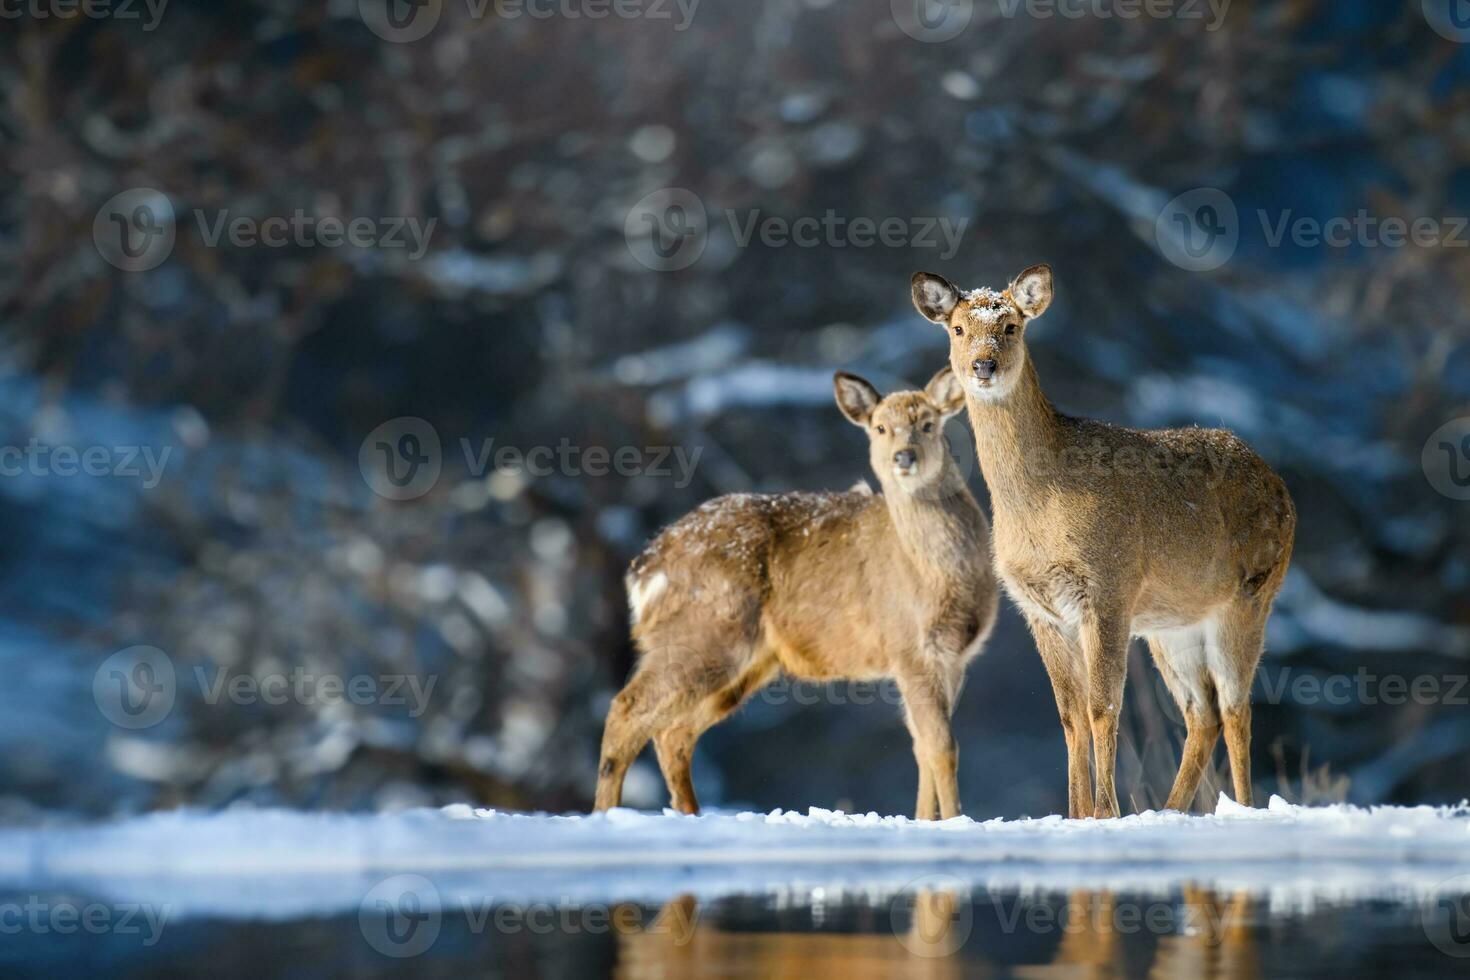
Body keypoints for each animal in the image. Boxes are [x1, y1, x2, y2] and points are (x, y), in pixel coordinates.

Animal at [593, 367, 999, 822]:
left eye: (928, 424)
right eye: (880, 427)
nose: (904, 457)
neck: (935, 575)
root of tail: (646, 566)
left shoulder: (954, 658)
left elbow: (922, 746)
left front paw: (924, 820)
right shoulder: (907, 646)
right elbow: (941, 746)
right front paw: (955, 820)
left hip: (744, 660)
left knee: (674, 732)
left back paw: (689, 814)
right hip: (703, 631)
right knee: (627, 708)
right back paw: (604, 814)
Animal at [911, 265, 1293, 822]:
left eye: (1011, 326)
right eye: (957, 329)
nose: (983, 364)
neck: (1038, 511)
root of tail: (1280, 486)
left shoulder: (1108, 585)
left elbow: (1101, 706)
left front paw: (1105, 813)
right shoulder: (1040, 608)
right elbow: (1069, 714)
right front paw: (1076, 812)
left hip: (1250, 595)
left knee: (1235, 706)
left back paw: (1241, 809)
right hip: (1171, 624)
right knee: (1201, 712)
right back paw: (1170, 811)